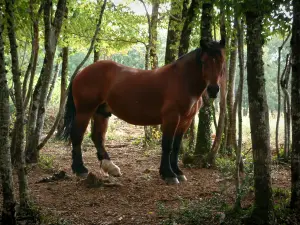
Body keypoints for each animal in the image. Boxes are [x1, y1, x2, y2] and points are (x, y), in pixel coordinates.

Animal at [61, 39, 225, 185]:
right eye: (203, 62)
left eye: (222, 62)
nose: (213, 90)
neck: (182, 80)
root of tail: (81, 72)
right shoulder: (171, 118)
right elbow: (167, 145)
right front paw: (168, 174)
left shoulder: (185, 120)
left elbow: (176, 147)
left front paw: (177, 172)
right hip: (85, 111)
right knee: (77, 136)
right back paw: (80, 169)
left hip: (102, 112)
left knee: (97, 137)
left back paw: (111, 167)